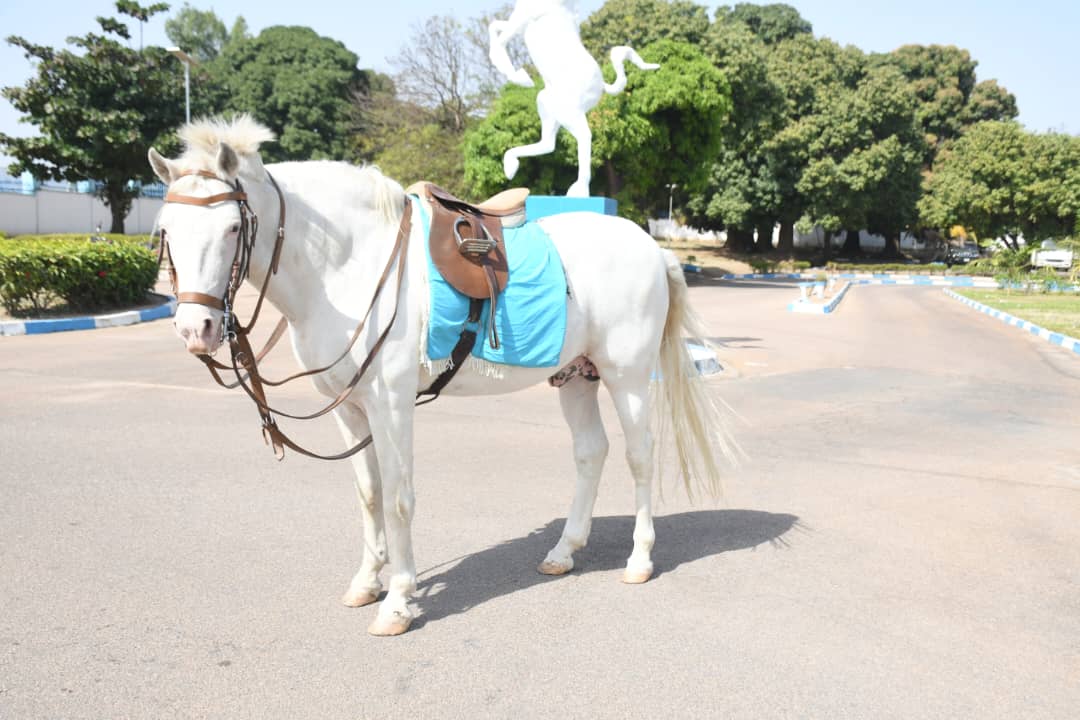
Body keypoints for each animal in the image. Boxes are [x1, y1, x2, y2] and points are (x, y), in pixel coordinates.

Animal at [147, 118, 734, 634]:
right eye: (166, 230)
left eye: (232, 227)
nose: (196, 328)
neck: (349, 266)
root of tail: (652, 247)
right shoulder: (350, 408)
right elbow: (369, 494)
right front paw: (367, 583)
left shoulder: (390, 404)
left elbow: (399, 498)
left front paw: (398, 603)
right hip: (577, 376)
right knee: (592, 452)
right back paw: (563, 551)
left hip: (625, 375)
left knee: (640, 456)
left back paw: (639, 560)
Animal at [490, 0, 656, 197]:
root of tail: (601, 85)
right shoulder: (519, 20)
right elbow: (494, 26)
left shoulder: (523, 17)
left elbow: (499, 41)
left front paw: (520, 77)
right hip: (548, 104)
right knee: (548, 144)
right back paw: (510, 168)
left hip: (568, 112)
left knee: (584, 136)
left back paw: (579, 189)